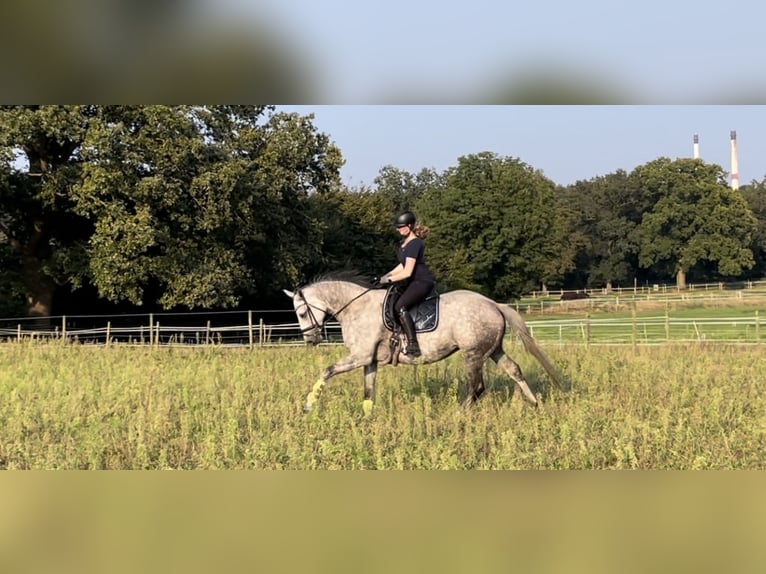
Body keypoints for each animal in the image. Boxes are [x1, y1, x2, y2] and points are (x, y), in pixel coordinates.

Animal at [284, 272, 568, 416]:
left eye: (301, 313)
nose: (310, 340)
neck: (356, 307)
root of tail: (493, 304)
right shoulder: (370, 360)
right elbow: (368, 391)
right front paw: (367, 419)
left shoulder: (360, 356)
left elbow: (327, 371)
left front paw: (308, 406)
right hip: (492, 350)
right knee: (513, 370)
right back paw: (535, 404)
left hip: (473, 354)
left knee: (477, 387)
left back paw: (457, 415)